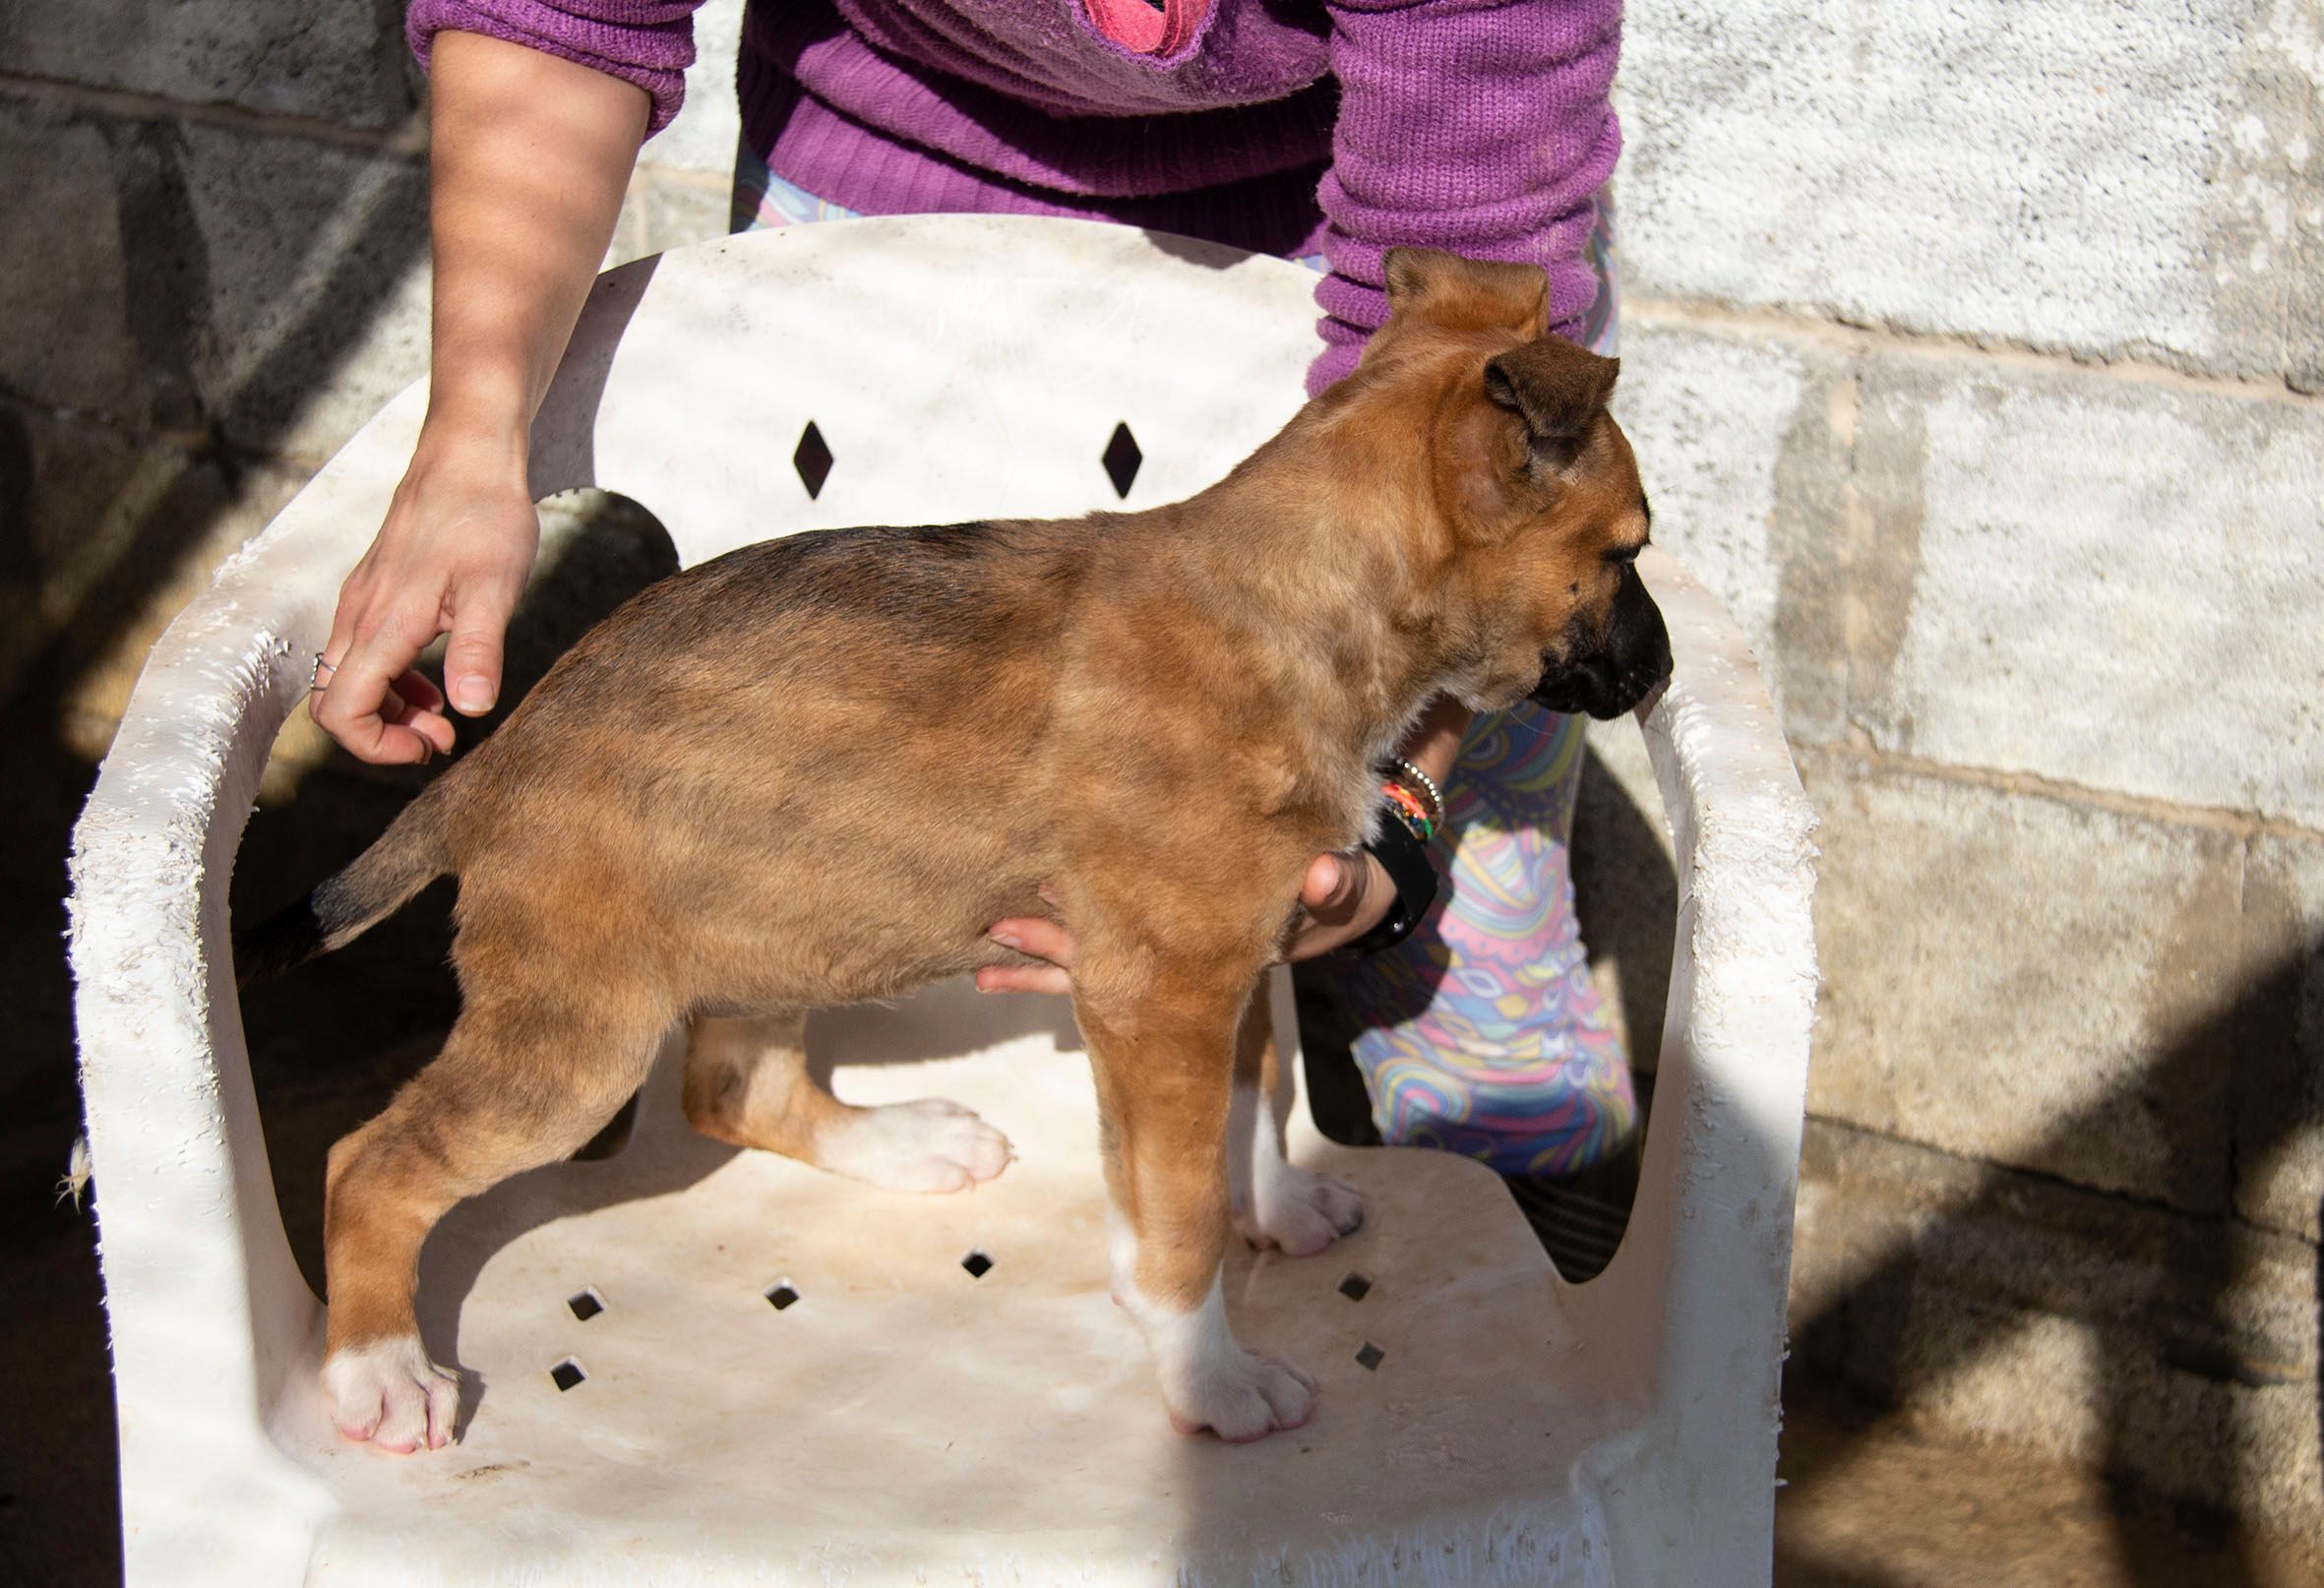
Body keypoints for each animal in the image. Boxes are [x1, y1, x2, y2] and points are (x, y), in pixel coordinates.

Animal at [240, 247, 1671, 1453]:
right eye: (1623, 554)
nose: (1656, 674)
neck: (1295, 605)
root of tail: (499, 757)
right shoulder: (1159, 998)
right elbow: (1178, 1222)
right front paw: (1209, 1378)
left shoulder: (1214, 973)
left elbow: (1241, 1114)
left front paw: (1270, 1212)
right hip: (579, 1035)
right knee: (375, 1163)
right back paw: (378, 1372)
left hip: (779, 922)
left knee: (733, 1089)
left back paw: (908, 1144)